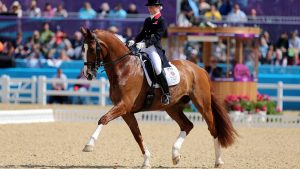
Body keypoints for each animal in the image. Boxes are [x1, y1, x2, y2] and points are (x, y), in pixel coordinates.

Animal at [79, 27, 237, 168]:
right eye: (83, 49)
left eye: (92, 49)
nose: (88, 74)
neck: (124, 67)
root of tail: (199, 69)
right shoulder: (126, 112)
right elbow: (137, 135)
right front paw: (146, 161)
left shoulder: (124, 105)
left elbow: (103, 119)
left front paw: (89, 145)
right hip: (172, 107)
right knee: (187, 125)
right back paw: (175, 155)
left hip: (202, 104)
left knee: (213, 128)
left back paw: (218, 161)